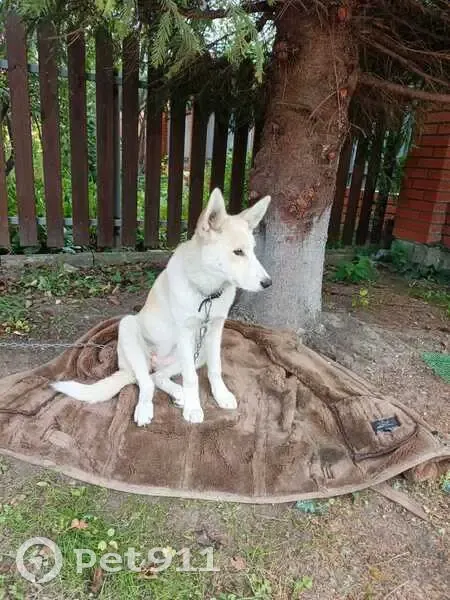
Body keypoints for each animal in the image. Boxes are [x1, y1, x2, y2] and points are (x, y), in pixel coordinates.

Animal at [51, 188, 271, 426]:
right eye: (238, 252)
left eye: (253, 251)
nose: (268, 283)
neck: (207, 293)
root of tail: (149, 364)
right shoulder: (185, 332)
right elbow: (191, 378)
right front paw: (194, 408)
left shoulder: (214, 330)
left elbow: (215, 368)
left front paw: (221, 395)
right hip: (128, 328)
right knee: (146, 382)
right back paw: (146, 408)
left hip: (197, 352)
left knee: (157, 377)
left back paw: (179, 394)